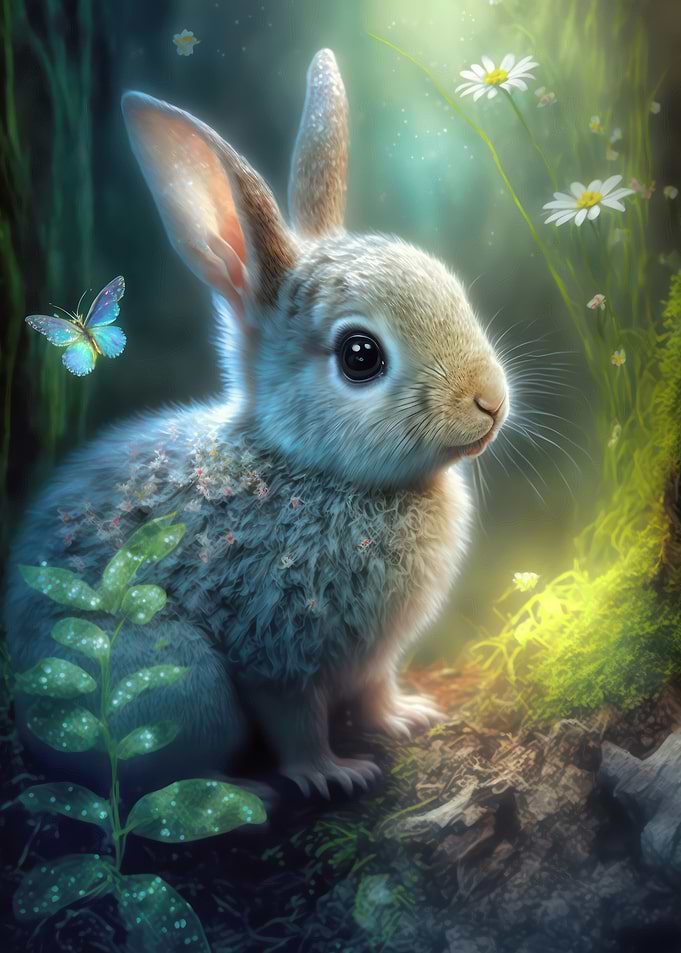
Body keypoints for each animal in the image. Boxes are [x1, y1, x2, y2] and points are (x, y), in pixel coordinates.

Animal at [4, 49, 509, 801]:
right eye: (360, 356)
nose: (490, 401)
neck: (311, 465)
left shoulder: (371, 659)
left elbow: (375, 688)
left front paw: (404, 717)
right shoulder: (273, 645)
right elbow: (294, 719)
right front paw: (329, 773)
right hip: (177, 683)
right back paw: (243, 793)